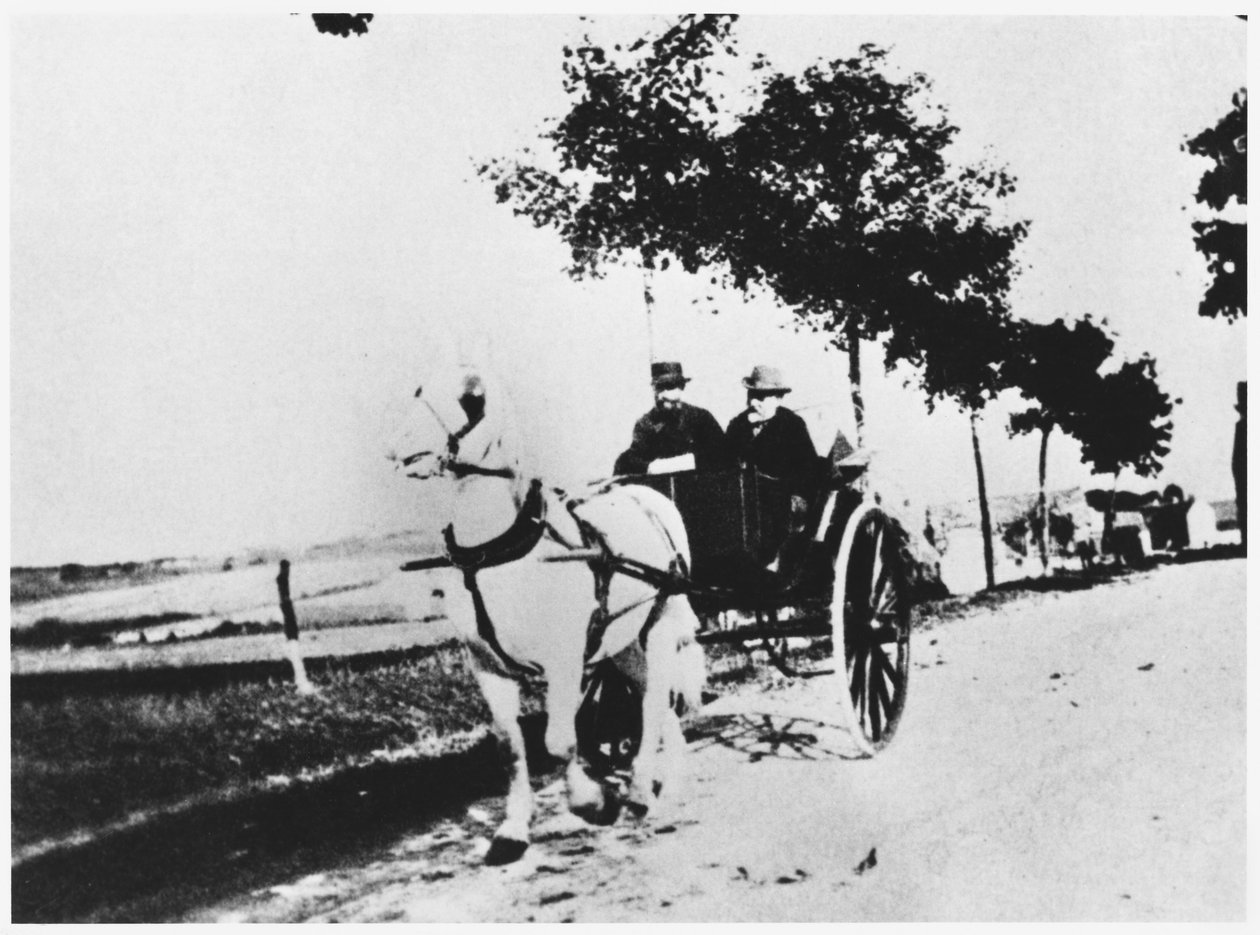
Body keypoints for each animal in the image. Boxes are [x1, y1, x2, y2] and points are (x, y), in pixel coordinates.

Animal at [383, 362, 710, 866]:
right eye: (419, 387)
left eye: (472, 399)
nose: (400, 449)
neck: (494, 556)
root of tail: (649, 496)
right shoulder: (487, 665)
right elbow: (511, 749)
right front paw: (512, 831)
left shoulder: (564, 659)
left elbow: (559, 741)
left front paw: (593, 803)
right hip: (620, 641)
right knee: (648, 693)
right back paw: (656, 781)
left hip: (660, 620)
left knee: (656, 698)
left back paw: (643, 788)